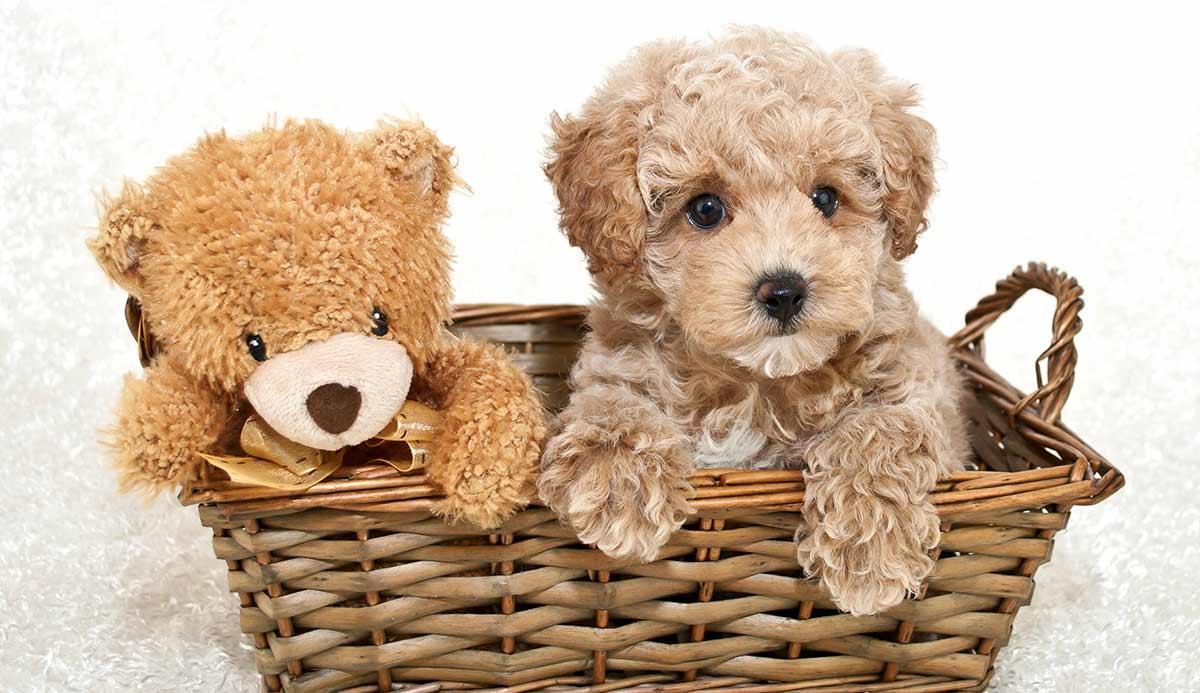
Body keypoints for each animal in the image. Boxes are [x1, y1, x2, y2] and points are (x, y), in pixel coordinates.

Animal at [540, 26, 969, 611]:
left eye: (826, 198)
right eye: (704, 209)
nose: (784, 291)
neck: (754, 380)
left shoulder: (915, 381)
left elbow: (883, 428)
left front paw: (868, 549)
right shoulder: (620, 359)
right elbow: (613, 404)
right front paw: (615, 483)